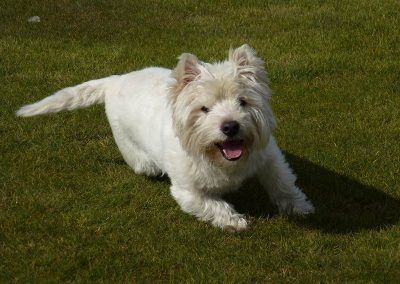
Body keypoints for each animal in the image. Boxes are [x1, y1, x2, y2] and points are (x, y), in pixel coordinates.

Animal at [16, 43, 316, 231]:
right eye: (204, 109)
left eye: (243, 102)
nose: (230, 127)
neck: (221, 159)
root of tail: (114, 81)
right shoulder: (187, 191)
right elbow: (212, 204)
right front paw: (234, 221)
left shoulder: (269, 157)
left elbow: (283, 182)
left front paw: (300, 206)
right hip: (139, 159)